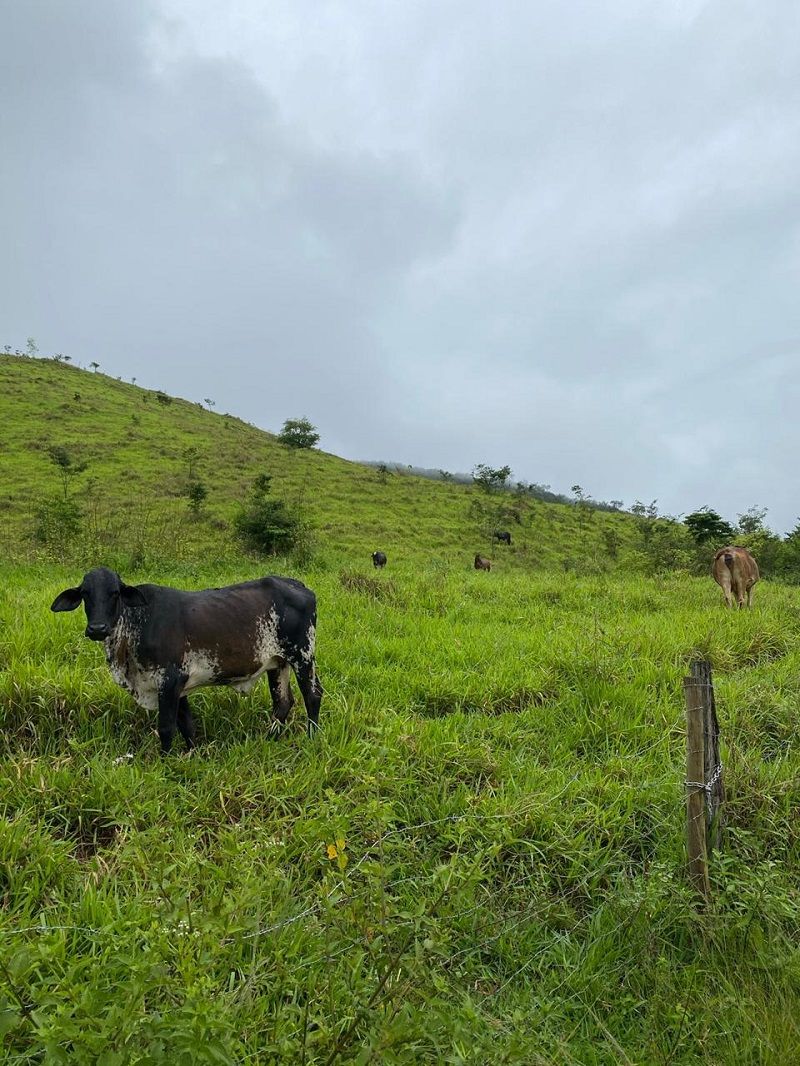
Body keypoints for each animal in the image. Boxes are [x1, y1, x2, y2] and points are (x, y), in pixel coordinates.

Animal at [51, 567, 322, 753]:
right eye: (85, 593)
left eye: (115, 593)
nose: (97, 628)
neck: (136, 623)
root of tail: (297, 584)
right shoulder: (178, 687)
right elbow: (186, 725)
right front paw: (192, 754)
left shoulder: (169, 680)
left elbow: (166, 728)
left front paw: (164, 762)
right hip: (277, 663)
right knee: (283, 703)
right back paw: (270, 738)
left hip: (302, 656)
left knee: (313, 695)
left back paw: (312, 738)